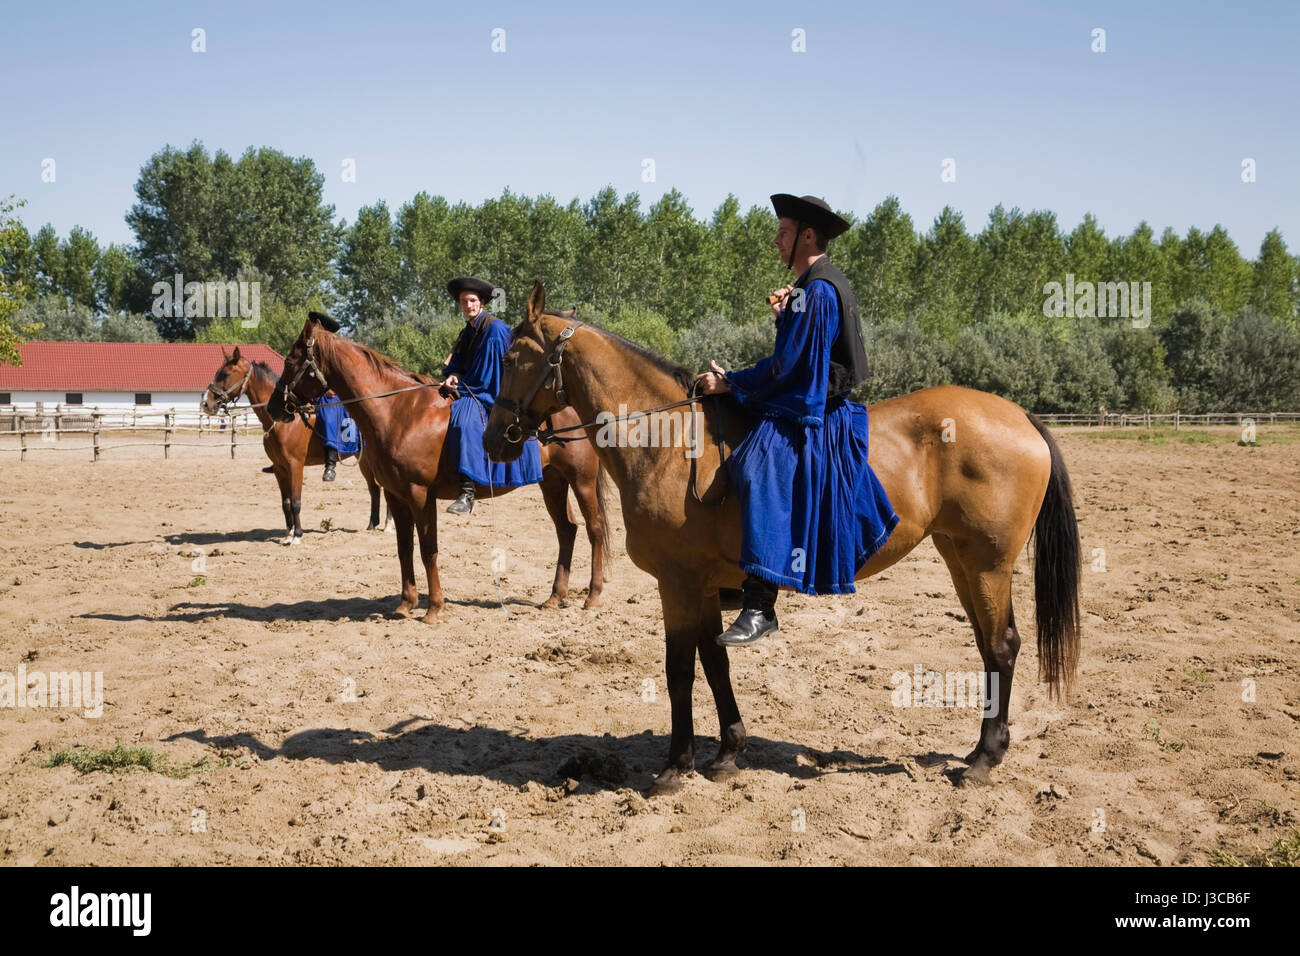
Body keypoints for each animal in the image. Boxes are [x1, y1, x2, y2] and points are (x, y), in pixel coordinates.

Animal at [198, 345, 384, 546]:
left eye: (225, 374)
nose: (205, 403)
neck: (284, 420)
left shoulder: (295, 466)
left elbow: (296, 502)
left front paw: (297, 535)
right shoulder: (280, 469)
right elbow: (286, 503)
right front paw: (288, 533)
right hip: (364, 461)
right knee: (375, 489)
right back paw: (372, 525)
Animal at [267, 314, 608, 621]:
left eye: (290, 361)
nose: (273, 407)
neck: (397, 412)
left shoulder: (420, 495)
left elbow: (427, 549)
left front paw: (433, 608)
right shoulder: (396, 496)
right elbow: (404, 548)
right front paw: (405, 604)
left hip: (581, 481)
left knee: (594, 529)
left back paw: (592, 596)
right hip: (552, 482)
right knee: (567, 530)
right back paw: (555, 597)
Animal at [483, 280, 1081, 790]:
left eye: (509, 360)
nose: (493, 440)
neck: (668, 443)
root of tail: (1020, 416)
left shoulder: (677, 582)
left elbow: (678, 670)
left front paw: (677, 767)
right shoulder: (702, 586)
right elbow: (714, 662)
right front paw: (727, 753)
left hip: (987, 563)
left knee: (1002, 646)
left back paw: (983, 761)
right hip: (960, 557)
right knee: (988, 646)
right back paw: (982, 749)